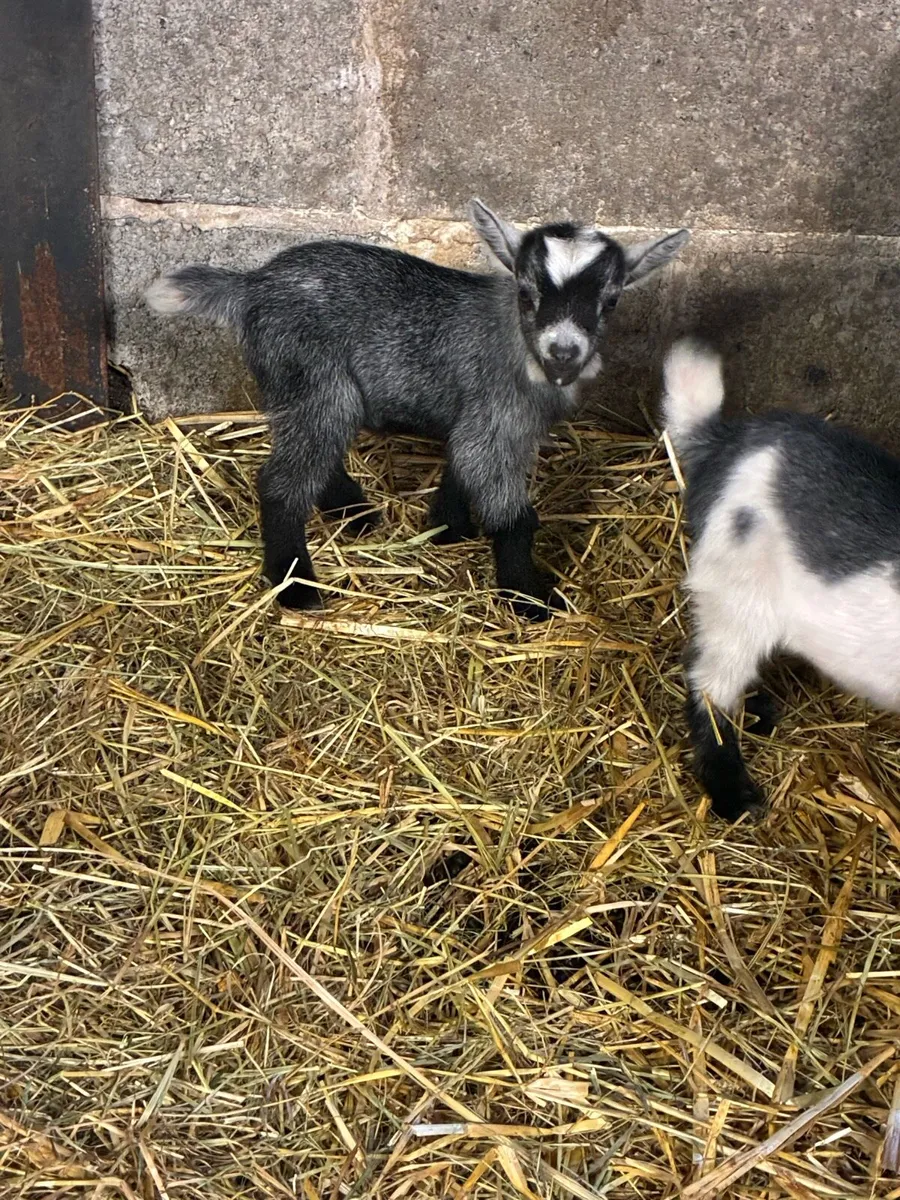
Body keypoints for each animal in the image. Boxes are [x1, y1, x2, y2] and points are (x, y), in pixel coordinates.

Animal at [147, 202, 689, 619]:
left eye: (611, 301)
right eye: (526, 293)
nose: (562, 353)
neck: (517, 348)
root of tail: (250, 286)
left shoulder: (477, 417)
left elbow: (460, 465)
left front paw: (448, 527)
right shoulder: (494, 423)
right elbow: (512, 512)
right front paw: (528, 596)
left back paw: (353, 512)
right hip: (312, 376)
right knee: (283, 480)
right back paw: (296, 584)